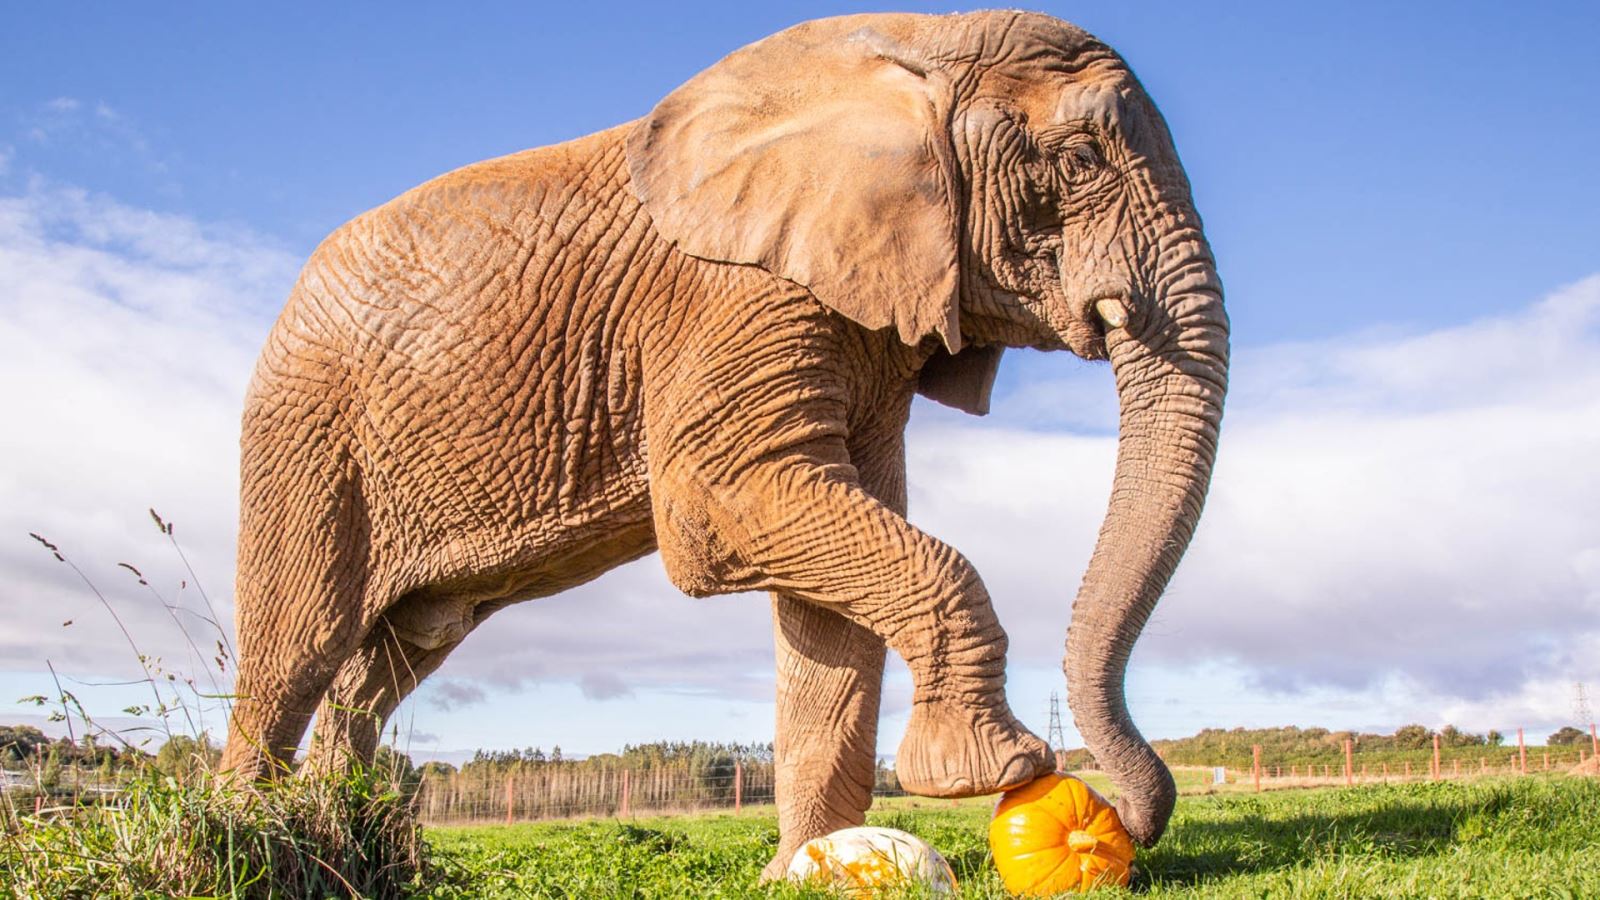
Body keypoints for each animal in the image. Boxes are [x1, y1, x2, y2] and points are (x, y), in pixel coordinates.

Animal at [219, 10, 1228, 871]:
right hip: (306, 424)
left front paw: (807, 869)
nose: (1114, 822)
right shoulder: (730, 297)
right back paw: (253, 836)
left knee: (390, 661)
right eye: (1081, 159)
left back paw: (343, 828)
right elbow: (723, 511)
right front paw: (997, 769)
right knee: (296, 648)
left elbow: (831, 600)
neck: (913, 43)